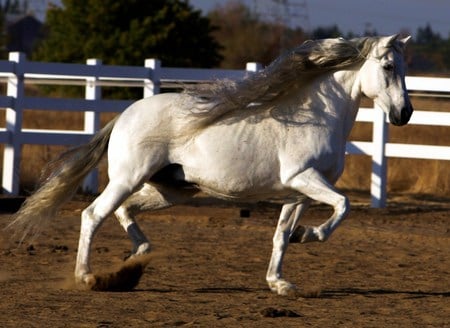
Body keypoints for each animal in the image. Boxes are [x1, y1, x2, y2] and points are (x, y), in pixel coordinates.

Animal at [10, 34, 414, 296]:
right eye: (388, 66)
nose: (405, 113)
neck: (318, 116)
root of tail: (124, 115)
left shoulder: (297, 193)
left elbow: (281, 235)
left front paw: (280, 282)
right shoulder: (305, 179)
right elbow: (343, 206)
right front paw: (309, 236)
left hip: (171, 190)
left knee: (124, 211)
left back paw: (136, 259)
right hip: (129, 178)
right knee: (93, 214)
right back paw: (88, 277)